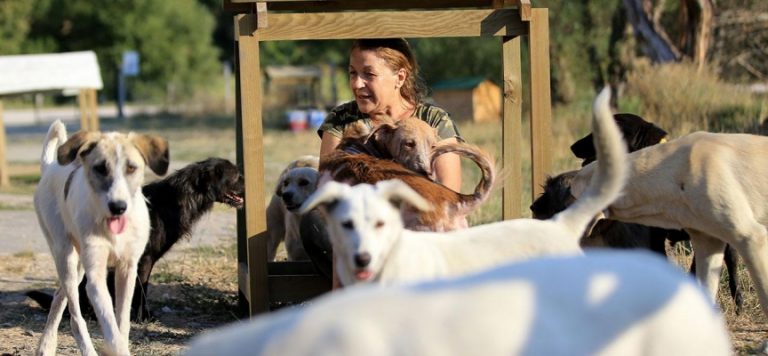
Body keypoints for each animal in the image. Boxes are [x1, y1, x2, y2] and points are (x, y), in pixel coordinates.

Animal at [27, 157, 243, 322]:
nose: (249, 181)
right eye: (236, 175)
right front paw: (143, 317)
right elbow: (142, 290)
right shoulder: (143, 259)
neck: (178, 198)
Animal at [33, 120, 168, 356]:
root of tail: (49, 167)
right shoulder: (95, 277)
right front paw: (114, 348)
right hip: (66, 256)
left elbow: (122, 325)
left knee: (59, 295)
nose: (118, 207)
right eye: (100, 168)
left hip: (78, 265)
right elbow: (112, 332)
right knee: (76, 319)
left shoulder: (127, 270)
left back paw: (46, 345)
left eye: (131, 168)